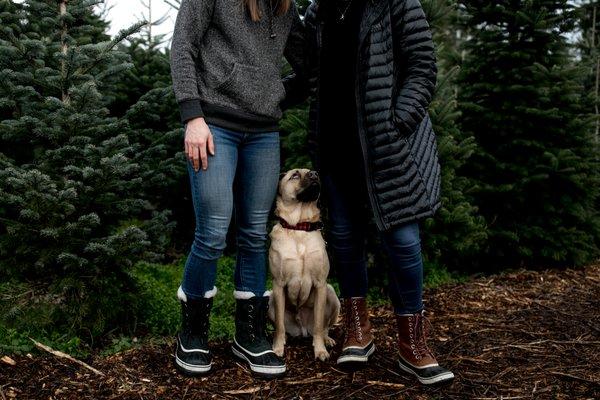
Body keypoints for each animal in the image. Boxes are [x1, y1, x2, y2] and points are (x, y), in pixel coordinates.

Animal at [270, 167, 340, 360]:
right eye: (294, 175)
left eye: (312, 172)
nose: (315, 174)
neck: (299, 227)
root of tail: (301, 328)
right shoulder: (278, 284)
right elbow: (279, 324)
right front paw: (277, 347)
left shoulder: (321, 284)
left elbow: (318, 324)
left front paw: (320, 350)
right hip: (270, 299)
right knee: (281, 325)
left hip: (332, 294)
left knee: (324, 327)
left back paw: (327, 340)